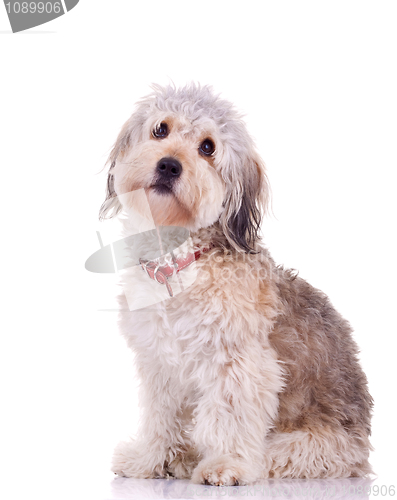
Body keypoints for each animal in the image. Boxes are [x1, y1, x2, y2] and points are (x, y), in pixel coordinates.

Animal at [99, 82, 372, 484]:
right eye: (160, 129)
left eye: (208, 147)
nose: (169, 165)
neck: (180, 264)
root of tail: (363, 450)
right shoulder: (160, 364)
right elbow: (160, 418)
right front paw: (150, 460)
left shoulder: (240, 363)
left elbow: (230, 416)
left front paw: (225, 464)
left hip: (308, 450)